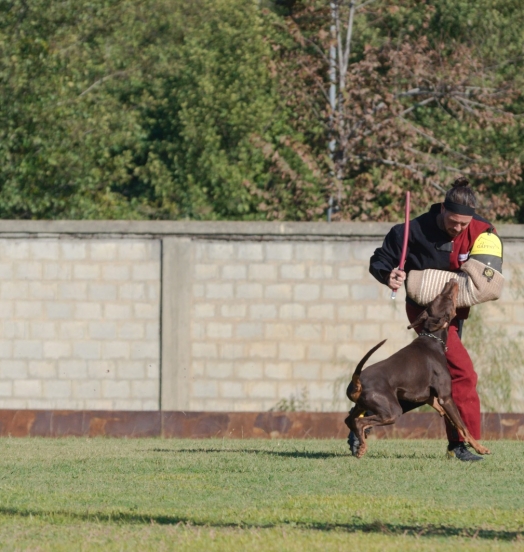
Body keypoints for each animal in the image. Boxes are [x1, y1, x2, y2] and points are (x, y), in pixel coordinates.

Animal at [346, 280, 490, 458]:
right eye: (448, 299)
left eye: (438, 296)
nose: (451, 281)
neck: (433, 340)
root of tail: (356, 380)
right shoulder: (446, 397)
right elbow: (463, 426)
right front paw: (480, 448)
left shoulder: (425, 395)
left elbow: (450, 419)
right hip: (392, 410)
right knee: (359, 421)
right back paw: (361, 448)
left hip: (366, 405)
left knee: (349, 420)